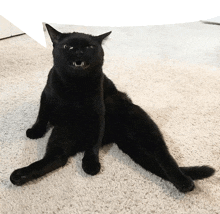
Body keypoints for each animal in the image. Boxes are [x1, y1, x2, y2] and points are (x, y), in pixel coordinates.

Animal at [10, 24, 215, 193]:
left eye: (89, 47)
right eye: (69, 47)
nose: (79, 53)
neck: (74, 85)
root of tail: (117, 134)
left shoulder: (97, 113)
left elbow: (93, 144)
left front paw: (91, 164)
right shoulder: (46, 96)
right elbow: (42, 114)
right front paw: (35, 131)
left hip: (146, 131)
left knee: (163, 155)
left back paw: (184, 182)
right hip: (63, 133)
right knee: (56, 158)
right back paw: (19, 175)